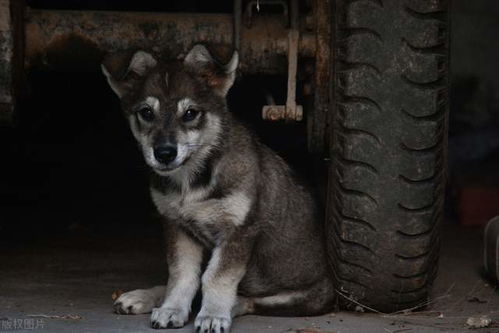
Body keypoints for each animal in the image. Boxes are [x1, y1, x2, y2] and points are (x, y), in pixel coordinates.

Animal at [101, 44, 336, 332]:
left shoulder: (238, 229)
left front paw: (212, 315)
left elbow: (215, 278)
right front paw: (171, 309)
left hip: (301, 297)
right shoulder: (177, 227)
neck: (193, 179)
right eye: (146, 113)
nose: (164, 154)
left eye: (190, 113)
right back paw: (142, 297)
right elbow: (181, 275)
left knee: (247, 300)